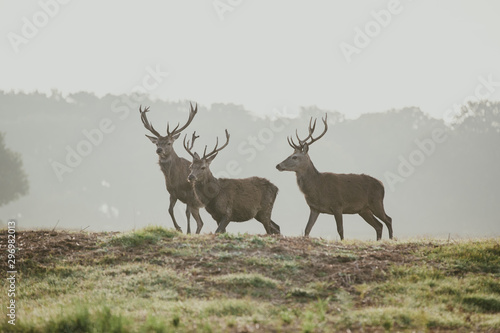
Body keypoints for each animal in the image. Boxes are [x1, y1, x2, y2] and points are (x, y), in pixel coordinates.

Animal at [140, 104, 204, 233]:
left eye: (169, 143)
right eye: (157, 143)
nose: (159, 150)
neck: (176, 180)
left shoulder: (189, 193)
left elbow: (186, 213)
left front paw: (187, 232)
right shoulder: (172, 193)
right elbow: (169, 210)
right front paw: (178, 228)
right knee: (200, 222)